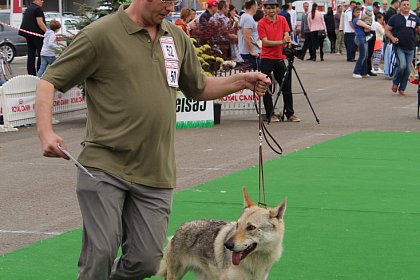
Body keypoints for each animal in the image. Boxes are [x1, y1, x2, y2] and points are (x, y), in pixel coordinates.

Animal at [156, 188, 288, 280]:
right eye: (237, 225)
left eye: (251, 227)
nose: (227, 245)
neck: (255, 262)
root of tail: (181, 227)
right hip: (175, 275)